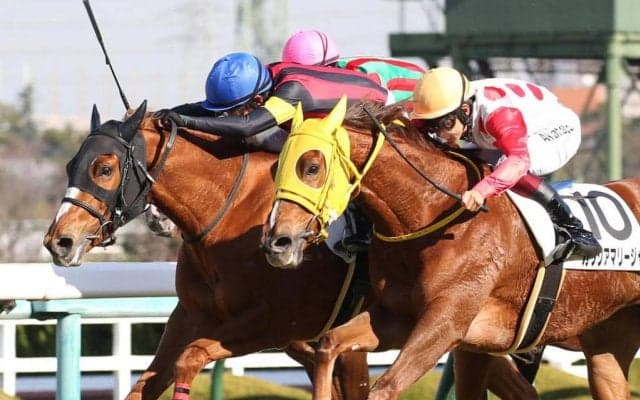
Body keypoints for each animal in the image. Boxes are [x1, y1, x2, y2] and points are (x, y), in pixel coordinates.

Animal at [43, 101, 373, 400]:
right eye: (70, 166)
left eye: (104, 169)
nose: (59, 241)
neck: (232, 211)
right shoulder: (190, 317)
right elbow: (143, 386)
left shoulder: (275, 322)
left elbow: (189, 359)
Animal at [260, 98, 640, 400]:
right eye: (276, 167)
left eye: (312, 167)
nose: (277, 241)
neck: (432, 212)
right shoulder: (399, 318)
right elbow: (328, 345)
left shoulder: (447, 321)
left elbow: (385, 388)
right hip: (608, 346)